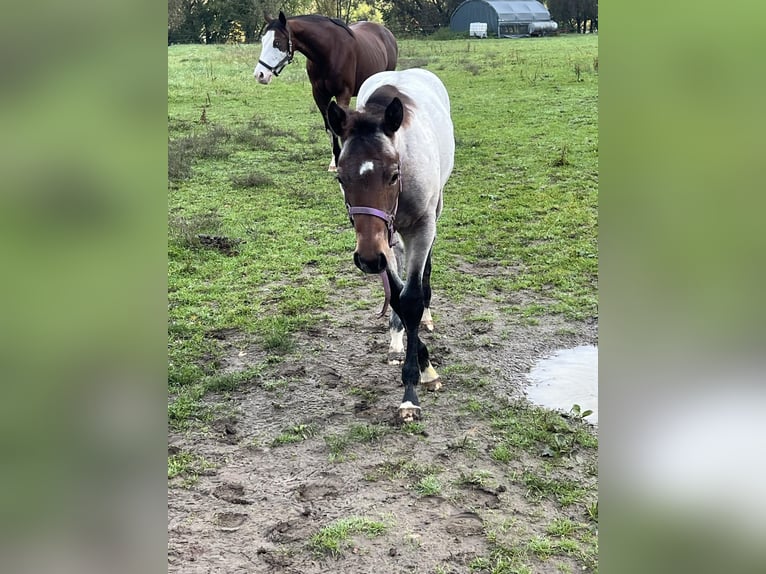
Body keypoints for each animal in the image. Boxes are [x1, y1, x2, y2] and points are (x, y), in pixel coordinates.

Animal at [255, 11, 400, 169]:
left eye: (276, 43)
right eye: (263, 41)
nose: (260, 75)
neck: (329, 52)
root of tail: (386, 32)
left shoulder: (343, 94)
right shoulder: (320, 96)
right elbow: (330, 128)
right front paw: (334, 161)